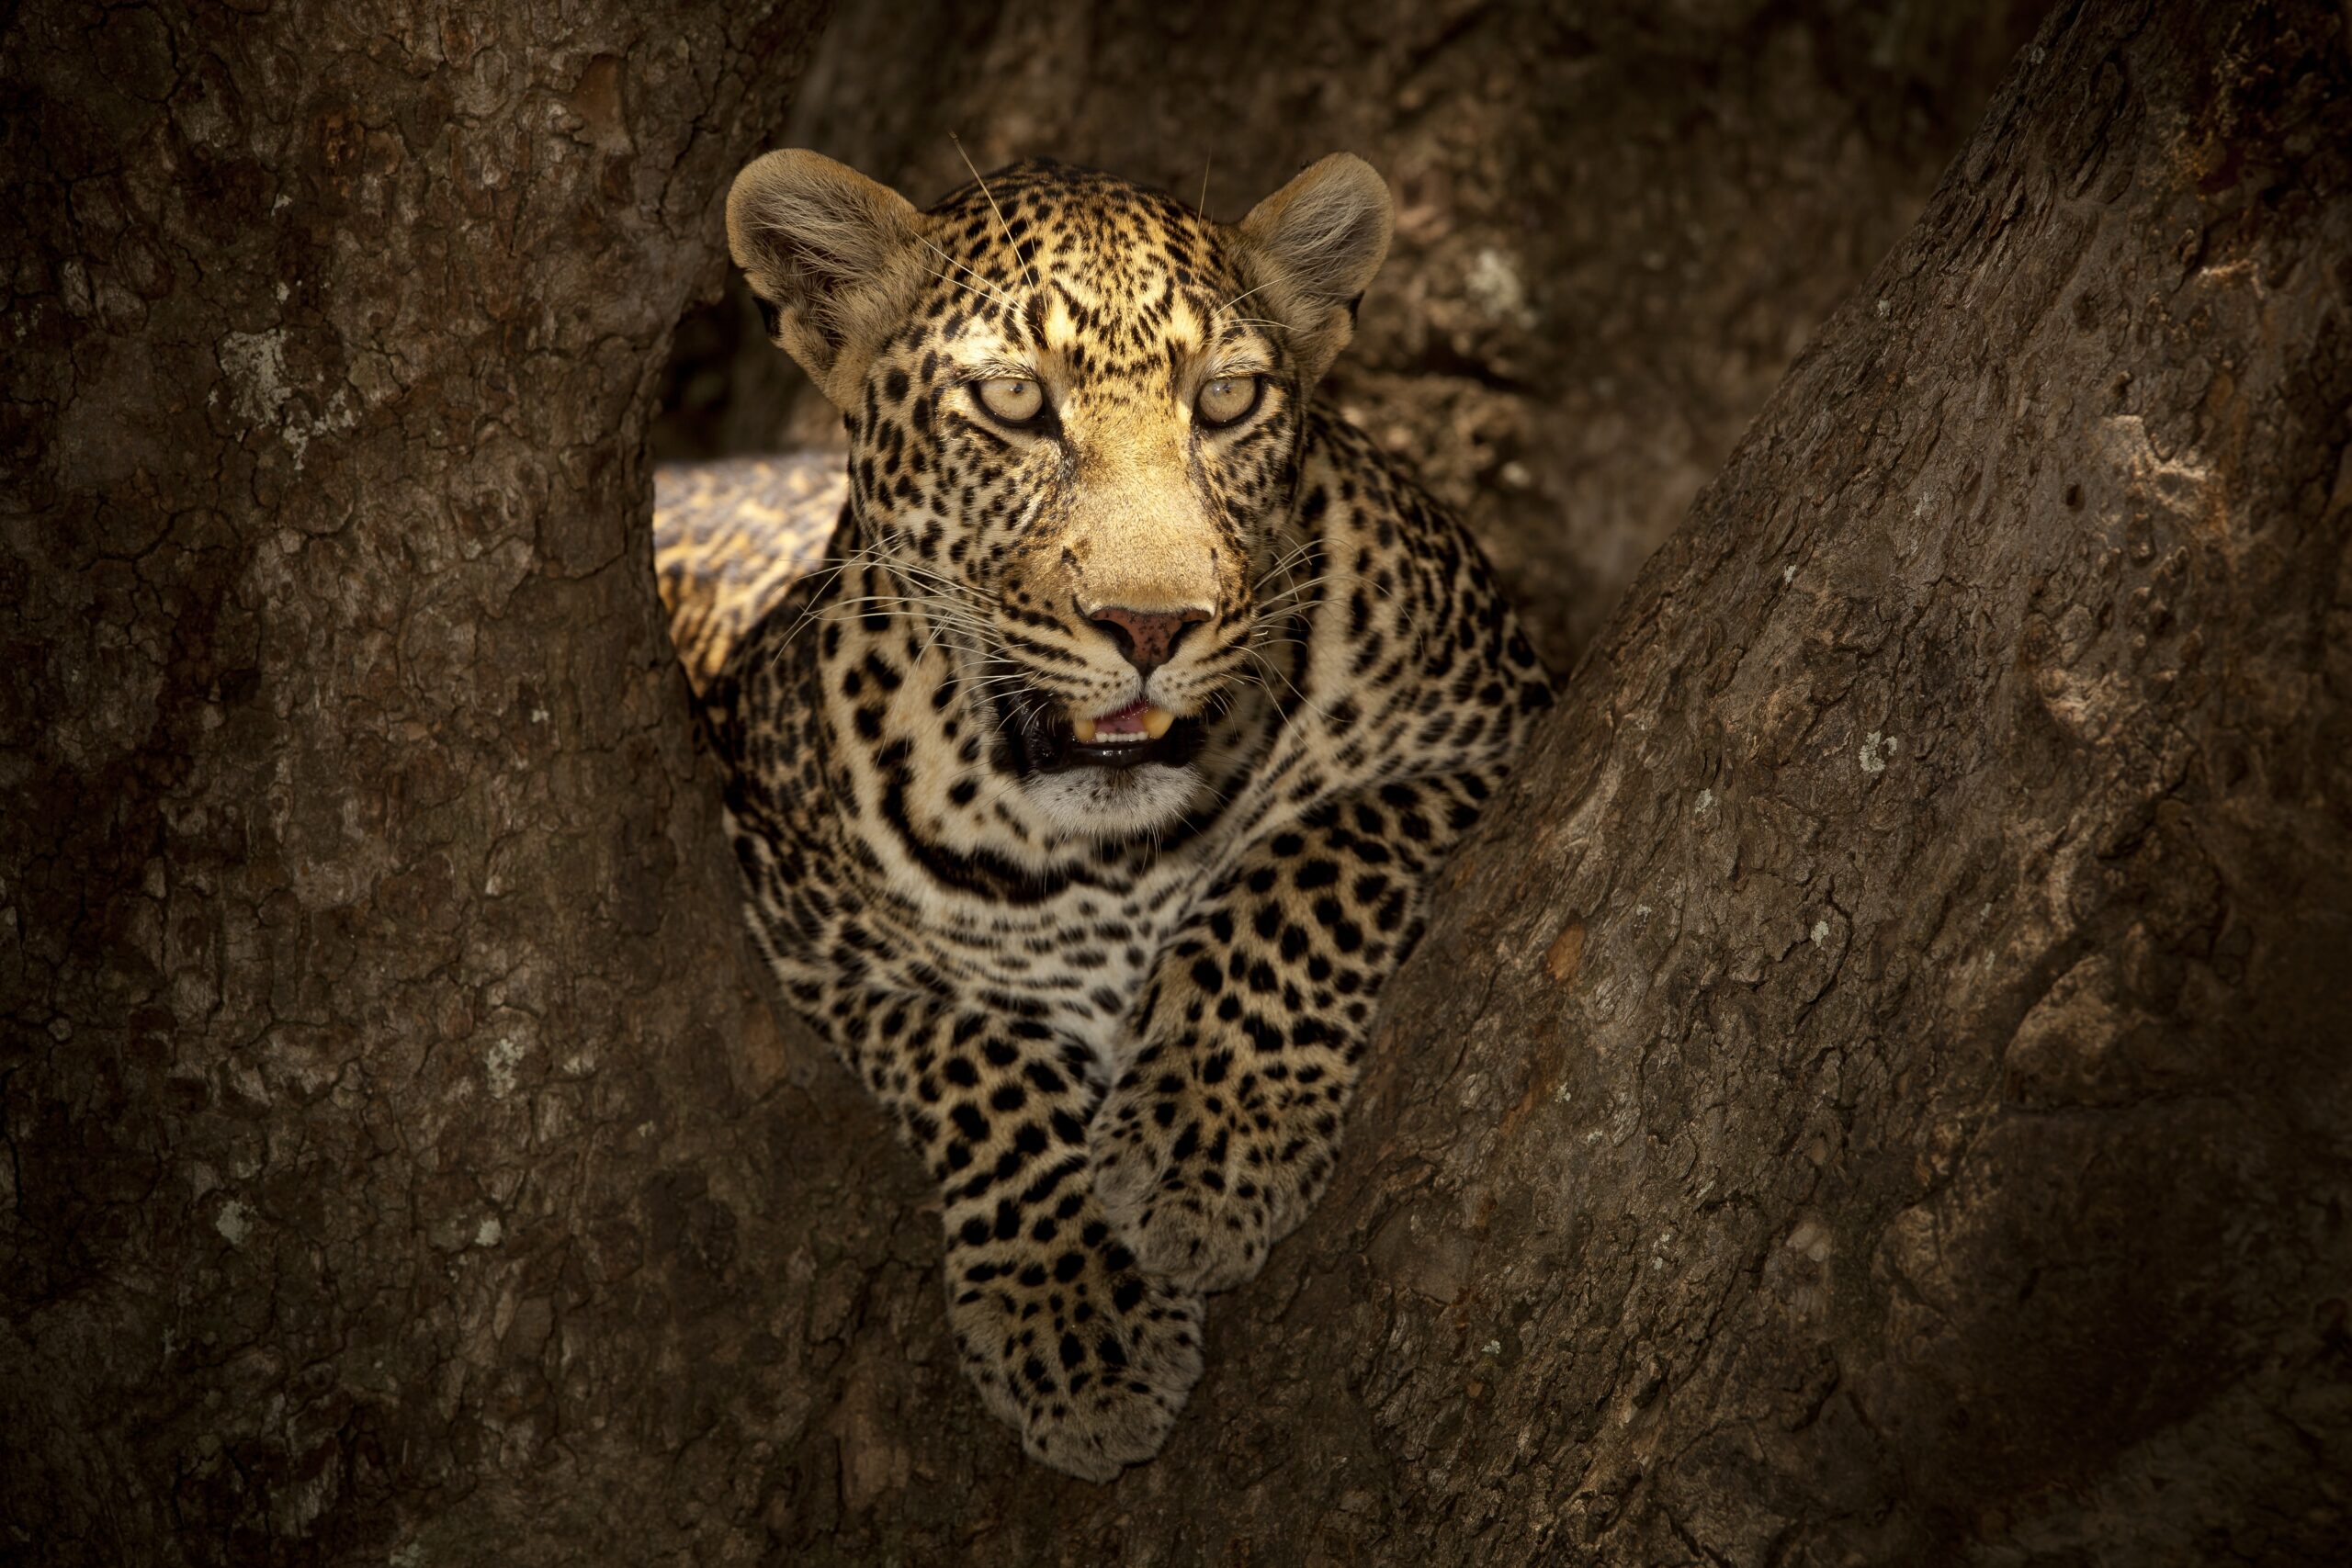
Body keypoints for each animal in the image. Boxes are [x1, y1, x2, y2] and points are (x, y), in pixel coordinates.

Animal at [653, 148, 1553, 1482]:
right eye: (1016, 403)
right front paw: (1077, 1317)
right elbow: (976, 1053)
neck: (1108, 851)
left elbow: (1303, 864)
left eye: (1227, 400)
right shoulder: (797, 927)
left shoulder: (1498, 728)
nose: (1151, 625)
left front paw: (1206, 1146)